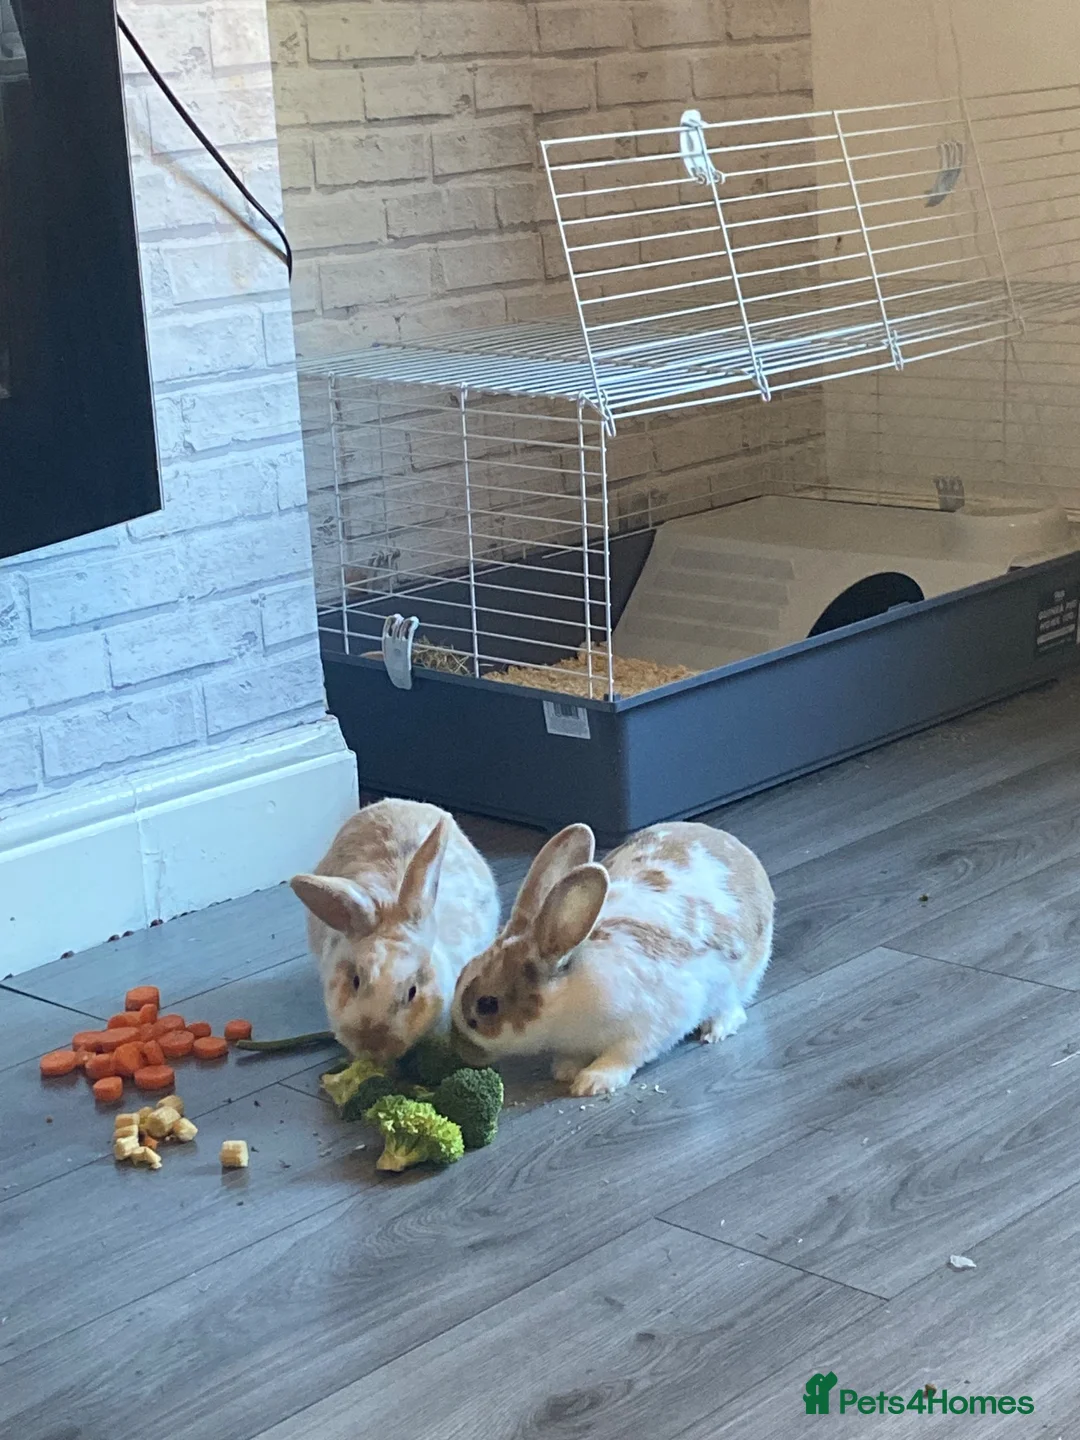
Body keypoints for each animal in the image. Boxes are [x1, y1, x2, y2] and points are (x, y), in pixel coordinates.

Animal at [451, 819, 773, 1096]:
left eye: (487, 1005)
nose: (461, 1049)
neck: (567, 999)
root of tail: (735, 847)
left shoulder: (654, 1022)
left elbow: (626, 1054)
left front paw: (592, 1082)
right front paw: (566, 1070)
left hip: (742, 978)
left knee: (733, 1009)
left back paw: (716, 1030)